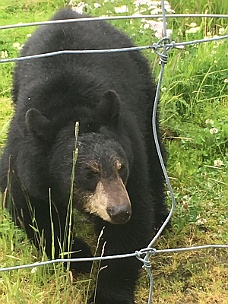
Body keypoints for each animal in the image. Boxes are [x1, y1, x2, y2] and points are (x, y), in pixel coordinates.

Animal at [0, 8, 167, 302]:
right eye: (88, 174)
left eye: (121, 167)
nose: (119, 211)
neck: (72, 112)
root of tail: (67, 12)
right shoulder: (24, 157)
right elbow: (28, 207)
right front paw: (79, 254)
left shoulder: (130, 152)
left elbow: (128, 231)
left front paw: (107, 292)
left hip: (145, 88)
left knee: (154, 147)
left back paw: (161, 214)